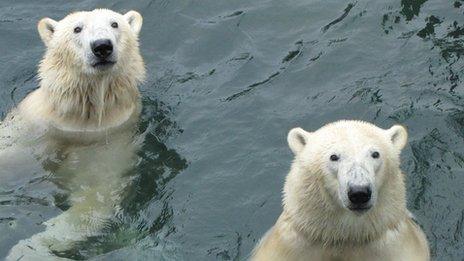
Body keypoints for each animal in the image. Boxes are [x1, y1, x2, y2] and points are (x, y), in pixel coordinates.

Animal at [2, 8, 145, 260]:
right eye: (77, 28)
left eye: (115, 24)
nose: (102, 46)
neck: (76, 121)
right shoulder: (30, 125)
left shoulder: (111, 137)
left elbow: (95, 199)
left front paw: (28, 250)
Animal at [252, 120, 430, 260]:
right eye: (334, 156)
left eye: (375, 154)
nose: (359, 193)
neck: (345, 237)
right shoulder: (293, 245)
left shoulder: (392, 247)